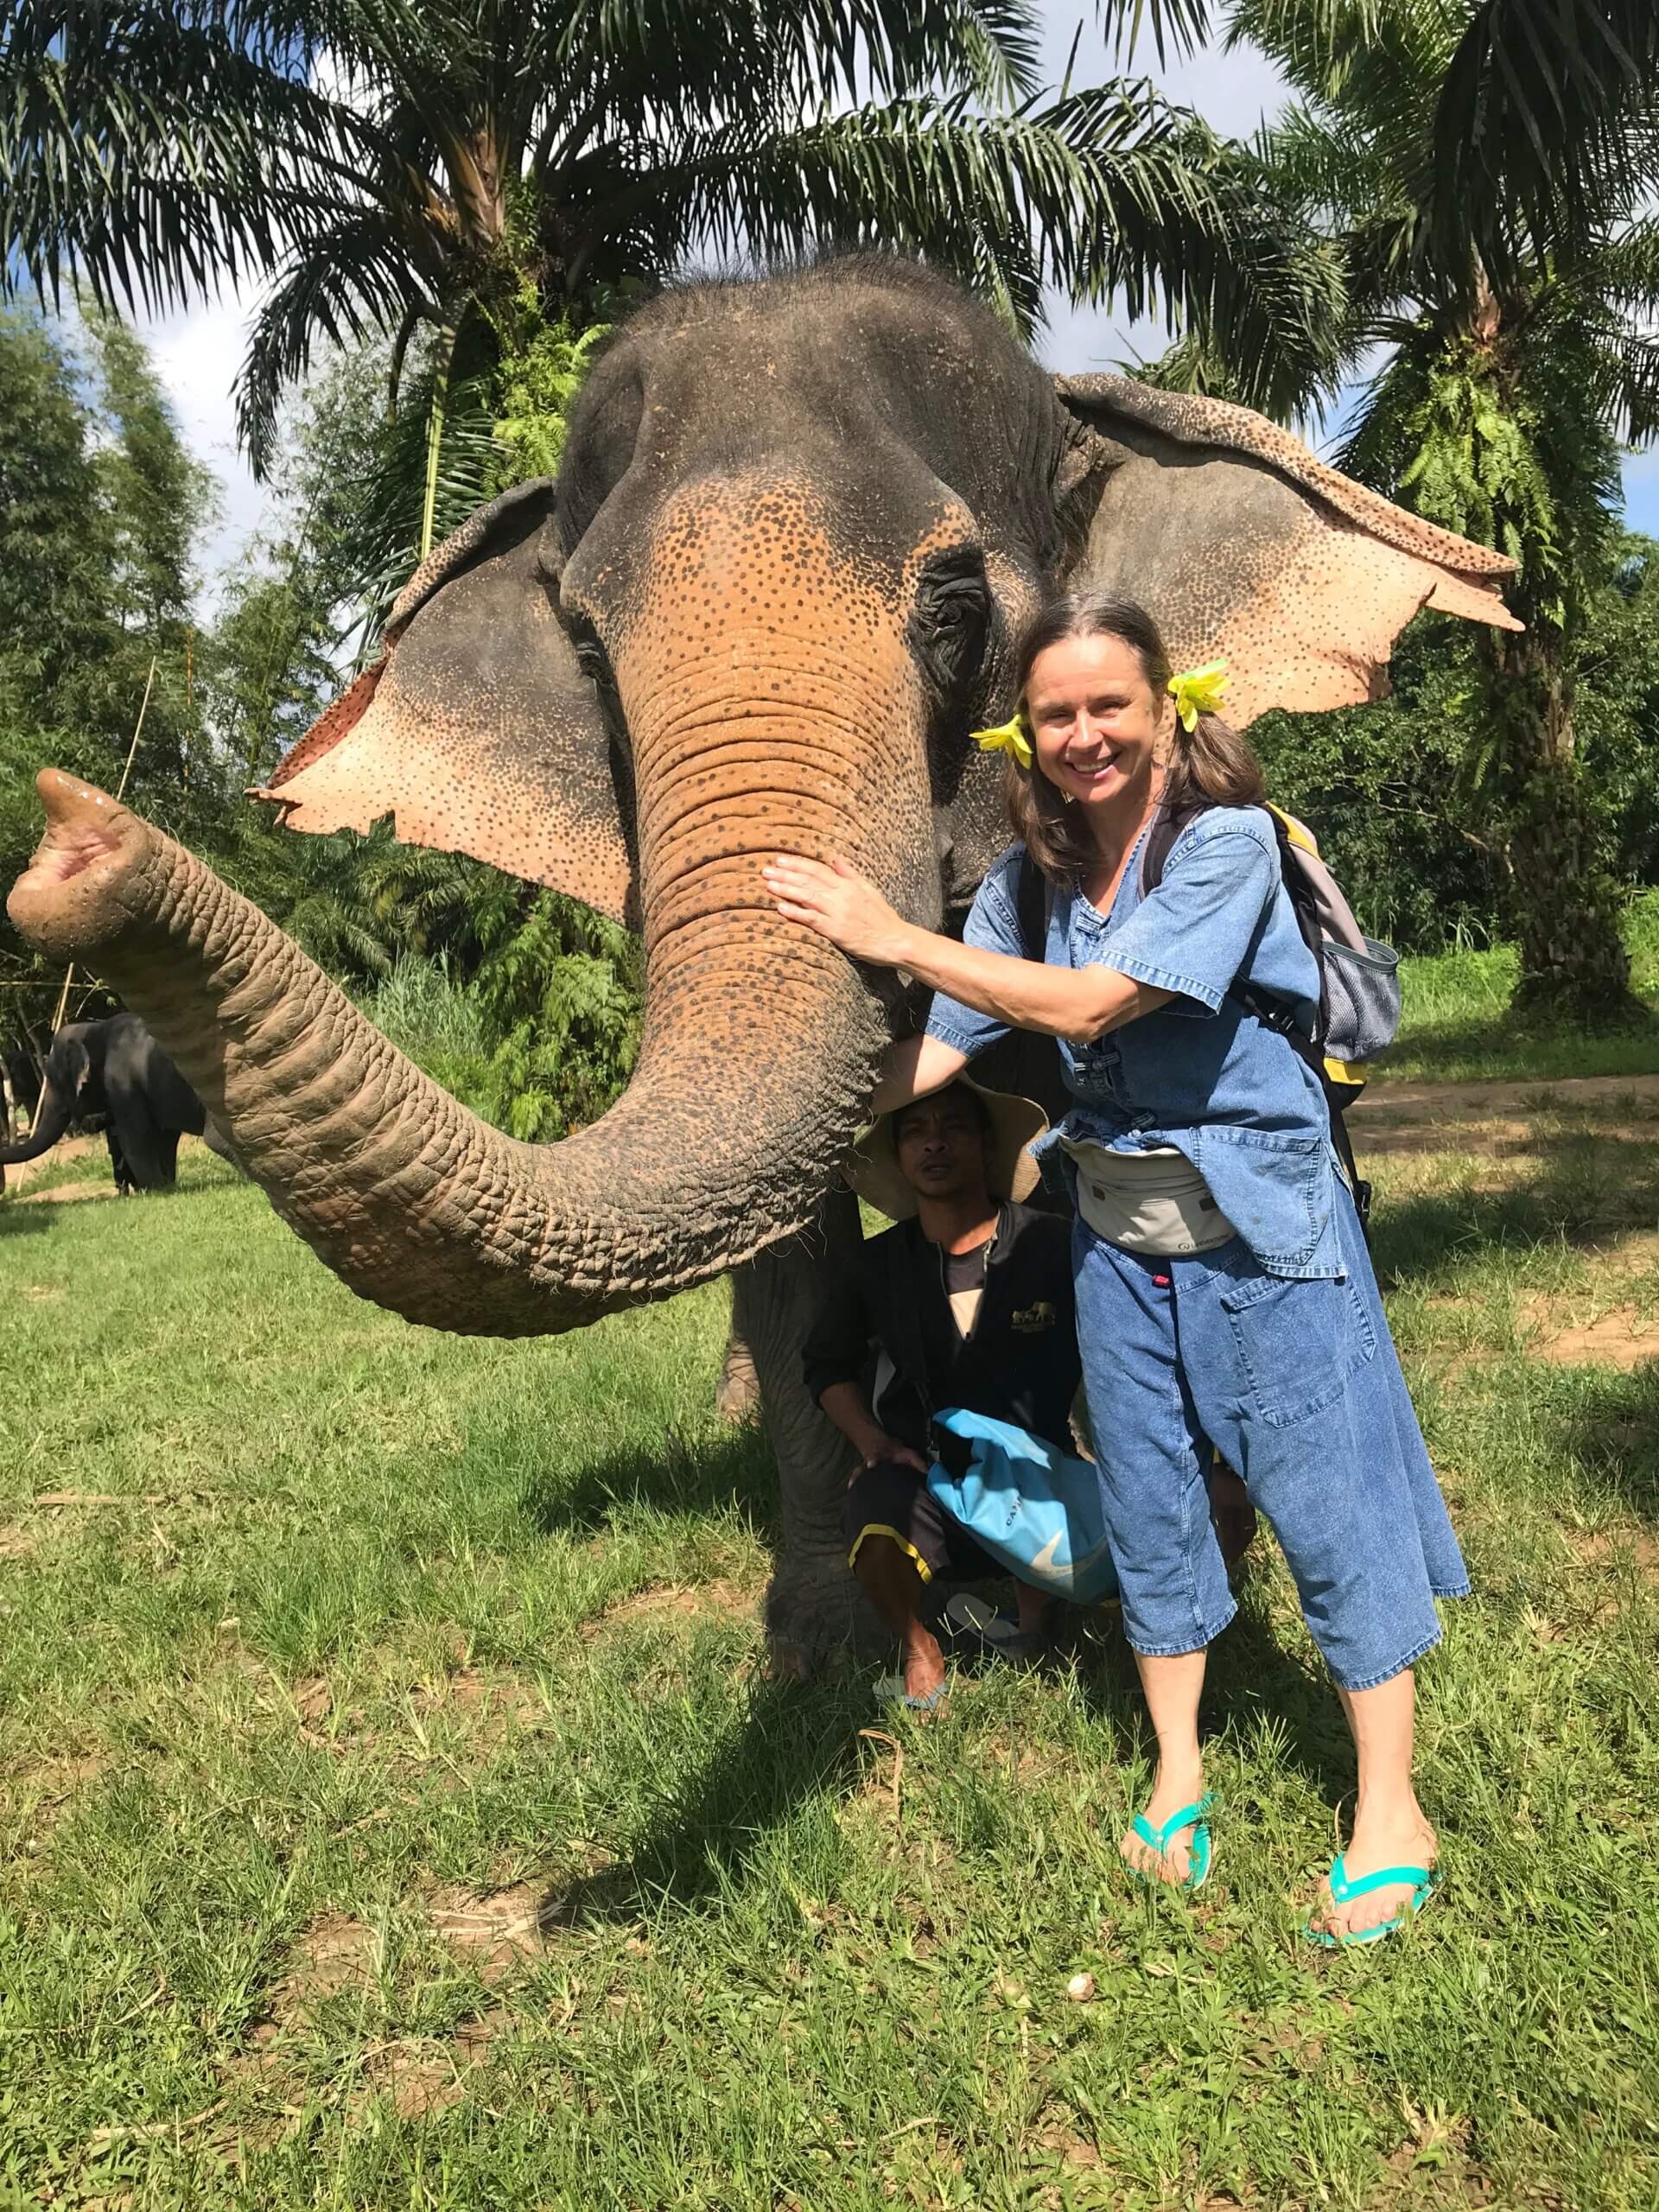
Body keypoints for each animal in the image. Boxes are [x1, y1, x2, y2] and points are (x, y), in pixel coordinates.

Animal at [0, 1013, 239, 1194]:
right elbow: (165, 1137)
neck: (95, 1029)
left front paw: (156, 1189)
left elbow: (135, 1135)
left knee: (216, 1137)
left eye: (54, 1079)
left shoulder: (122, 1082)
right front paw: (168, 1184)